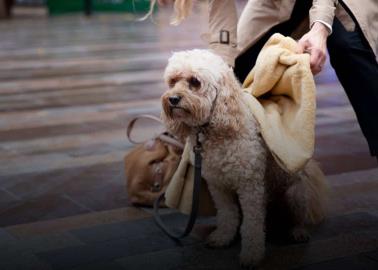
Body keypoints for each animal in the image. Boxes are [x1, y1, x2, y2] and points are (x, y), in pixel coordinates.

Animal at [161, 49, 326, 266]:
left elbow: (252, 224)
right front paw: (223, 237)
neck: (217, 131)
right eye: (172, 81)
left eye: (194, 82)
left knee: (298, 217)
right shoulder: (218, 186)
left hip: (295, 193)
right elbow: (227, 215)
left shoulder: (250, 186)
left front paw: (252, 254)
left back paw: (298, 231)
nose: (172, 99)